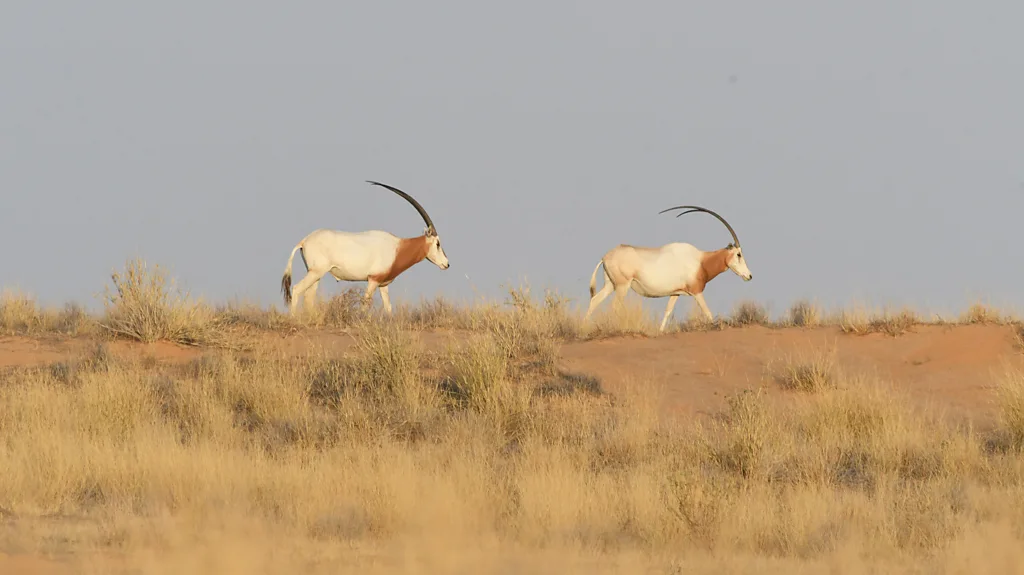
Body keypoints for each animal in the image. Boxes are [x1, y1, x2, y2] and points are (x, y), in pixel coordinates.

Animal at [280, 181, 450, 315]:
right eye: (438, 243)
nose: (447, 264)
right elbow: (365, 305)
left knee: (308, 297)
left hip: (316, 274)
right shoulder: (372, 280)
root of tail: (304, 241)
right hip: (316, 272)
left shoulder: (382, 284)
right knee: (296, 289)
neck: (397, 247)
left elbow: (388, 308)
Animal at [582, 206, 752, 332]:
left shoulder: (675, 293)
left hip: (610, 285)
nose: (749, 276)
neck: (700, 261)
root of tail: (605, 256)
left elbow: (668, 311)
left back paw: (584, 328)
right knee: (615, 306)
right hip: (622, 286)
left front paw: (660, 331)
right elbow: (708, 312)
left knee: (595, 300)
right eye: (738, 254)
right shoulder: (697, 292)